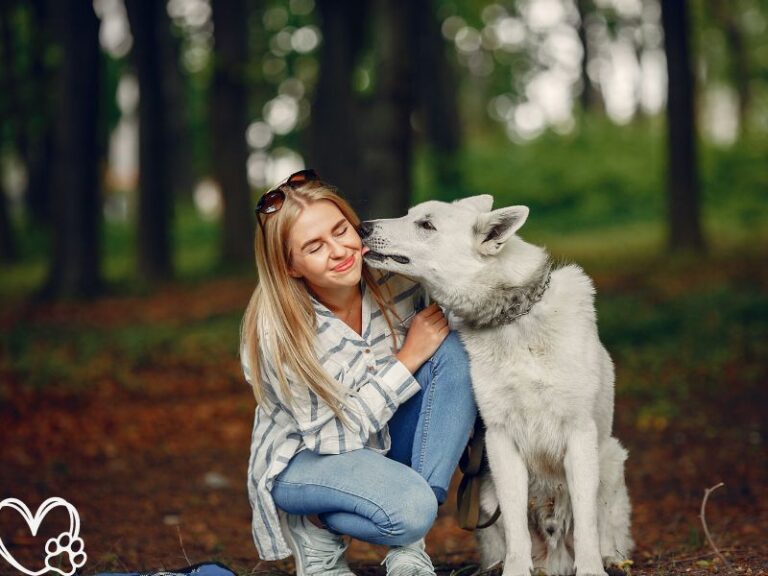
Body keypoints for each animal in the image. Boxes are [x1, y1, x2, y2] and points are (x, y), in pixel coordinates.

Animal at [364, 195, 632, 576]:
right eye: (409, 215)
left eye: (426, 225)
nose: (363, 227)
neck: (514, 320)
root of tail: (555, 559)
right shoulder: (500, 438)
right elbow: (517, 527)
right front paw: (515, 570)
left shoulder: (579, 434)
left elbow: (585, 522)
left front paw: (592, 570)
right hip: (488, 493)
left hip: (609, 460)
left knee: (604, 529)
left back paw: (612, 560)